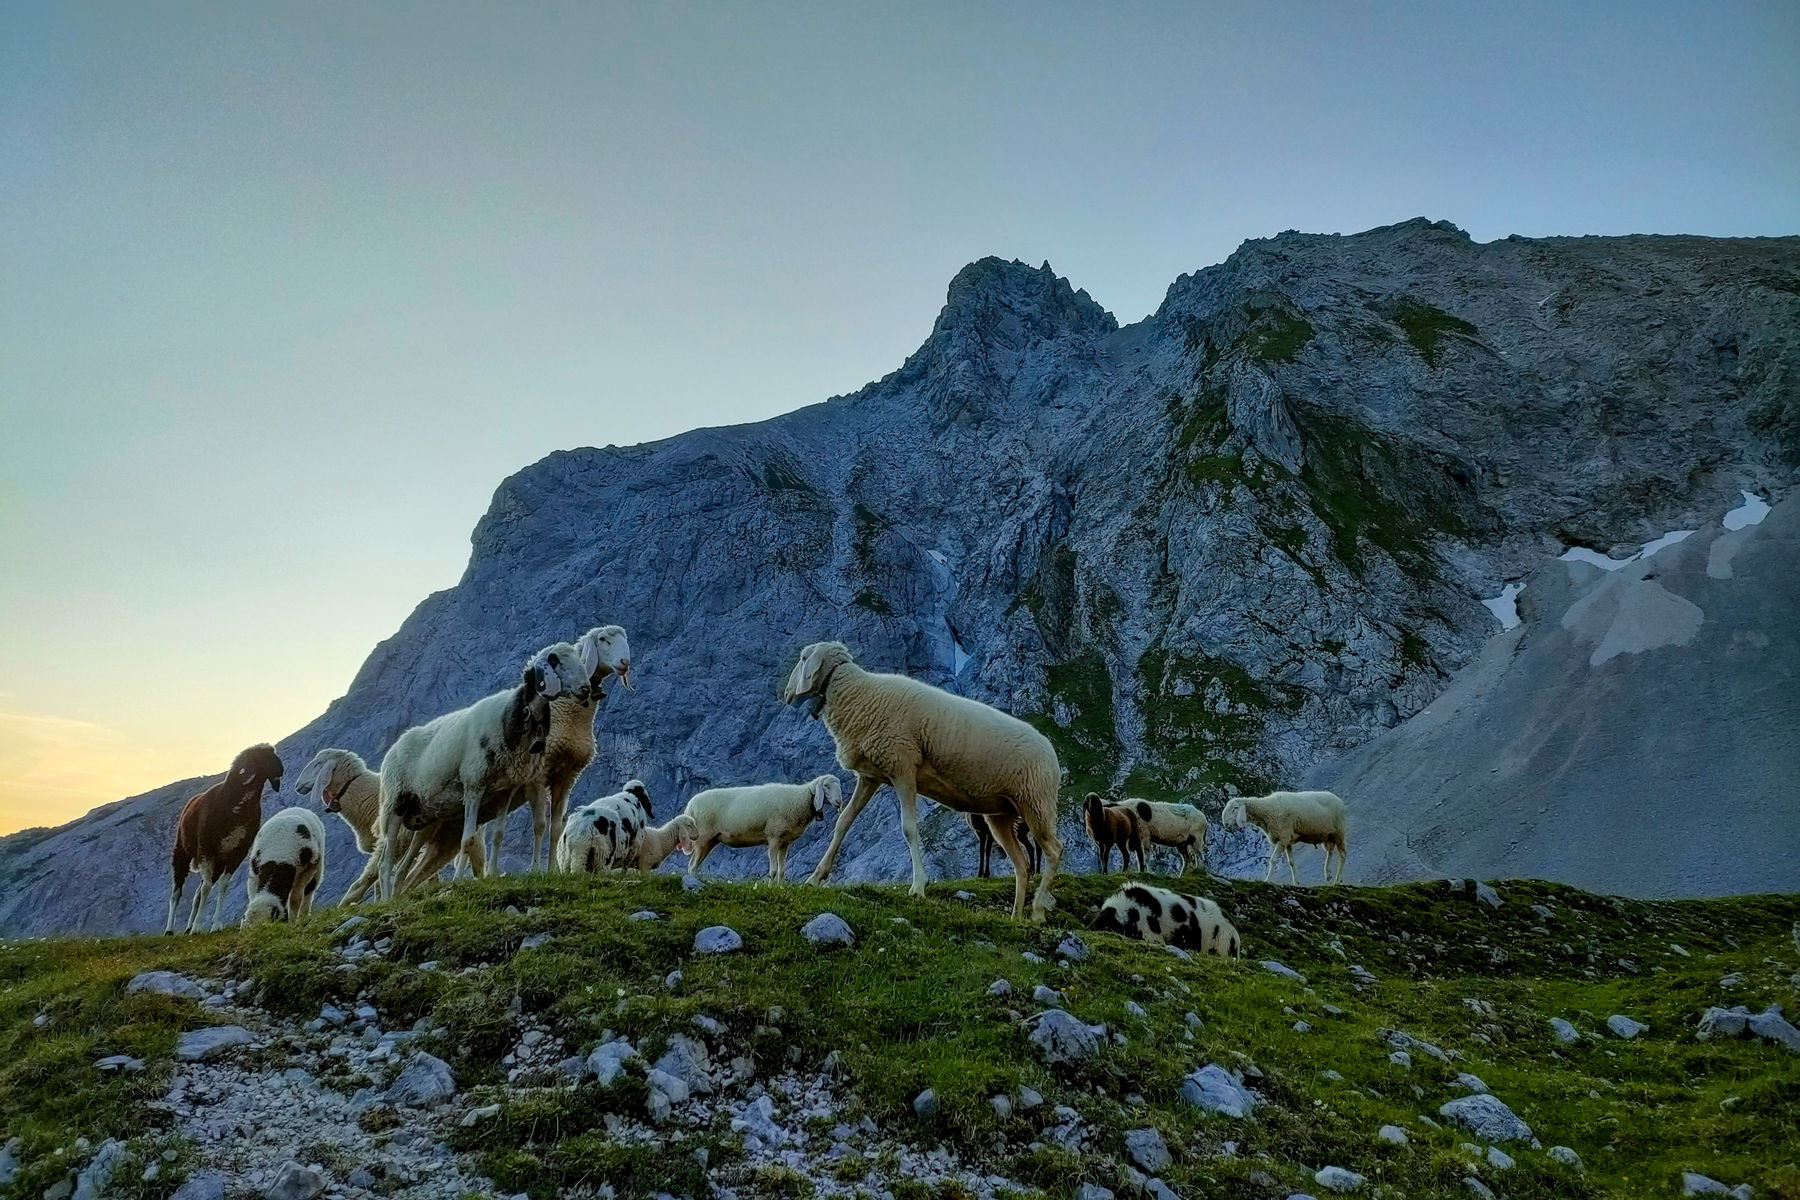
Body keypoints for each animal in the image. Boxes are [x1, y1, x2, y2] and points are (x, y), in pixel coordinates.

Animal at [165, 744, 284, 934]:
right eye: (263, 757)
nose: (281, 770)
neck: (236, 805)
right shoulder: (206, 848)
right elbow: (206, 887)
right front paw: (199, 926)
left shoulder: (238, 851)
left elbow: (223, 886)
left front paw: (215, 925)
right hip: (182, 852)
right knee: (177, 892)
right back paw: (170, 929)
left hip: (218, 862)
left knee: (197, 893)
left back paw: (189, 927)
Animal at [374, 644, 588, 898]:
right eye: (556, 662)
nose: (586, 690)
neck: (513, 715)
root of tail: (394, 747)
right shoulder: (473, 784)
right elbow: (467, 840)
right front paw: (458, 881)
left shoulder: (505, 790)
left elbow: (498, 834)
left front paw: (491, 874)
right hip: (395, 805)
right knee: (386, 864)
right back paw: (385, 900)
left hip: (425, 819)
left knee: (402, 870)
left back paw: (395, 898)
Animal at [681, 775, 843, 882]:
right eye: (826, 786)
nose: (839, 802)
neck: (800, 799)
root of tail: (689, 807)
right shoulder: (773, 837)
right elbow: (773, 870)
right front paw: (771, 887)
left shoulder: (784, 842)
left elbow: (782, 870)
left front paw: (780, 888)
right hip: (702, 836)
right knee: (692, 866)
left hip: (710, 841)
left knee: (693, 865)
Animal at [783, 641, 1064, 922]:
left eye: (804, 658)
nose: (786, 694)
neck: (861, 694)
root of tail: (1050, 749)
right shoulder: (870, 777)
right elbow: (843, 822)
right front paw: (816, 877)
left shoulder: (903, 769)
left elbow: (909, 828)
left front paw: (918, 886)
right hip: (1001, 814)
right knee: (1022, 865)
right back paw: (1016, 917)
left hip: (1036, 803)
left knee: (1054, 850)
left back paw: (1038, 911)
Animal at [1219, 789, 1349, 884]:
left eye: (1235, 808)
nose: (1225, 824)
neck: (1266, 811)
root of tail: (1339, 800)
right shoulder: (1287, 840)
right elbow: (1291, 862)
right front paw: (1296, 882)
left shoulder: (1283, 838)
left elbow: (1273, 860)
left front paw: (1267, 880)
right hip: (1328, 836)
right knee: (1330, 852)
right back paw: (1328, 874)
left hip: (1339, 832)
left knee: (1343, 854)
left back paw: (1337, 880)